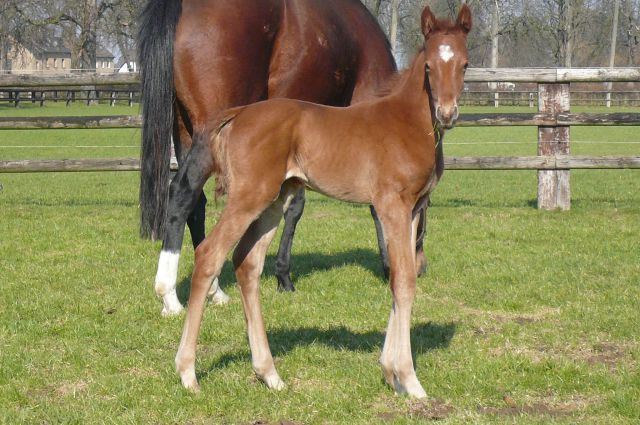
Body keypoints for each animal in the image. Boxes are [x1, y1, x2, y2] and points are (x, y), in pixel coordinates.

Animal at [174, 4, 470, 396]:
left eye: (465, 64)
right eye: (428, 67)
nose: (447, 114)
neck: (407, 121)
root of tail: (237, 114)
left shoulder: (410, 211)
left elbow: (400, 279)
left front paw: (390, 371)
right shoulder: (392, 205)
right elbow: (404, 280)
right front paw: (410, 380)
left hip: (274, 201)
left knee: (246, 264)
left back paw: (269, 374)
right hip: (248, 197)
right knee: (209, 255)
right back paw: (188, 372)